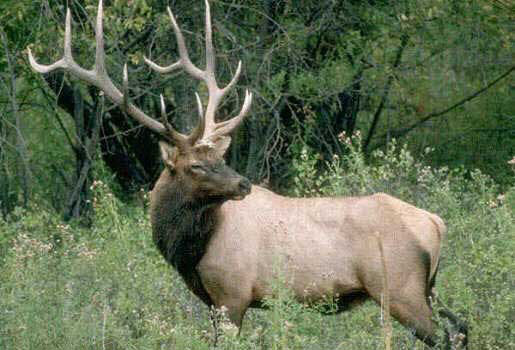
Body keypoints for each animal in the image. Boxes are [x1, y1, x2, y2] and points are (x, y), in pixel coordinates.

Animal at [29, 1, 472, 348]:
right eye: (196, 164)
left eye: (216, 158)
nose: (243, 183)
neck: (189, 248)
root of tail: (436, 222)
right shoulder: (212, 301)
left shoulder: (233, 293)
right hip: (426, 288)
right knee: (461, 325)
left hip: (399, 288)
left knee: (448, 336)